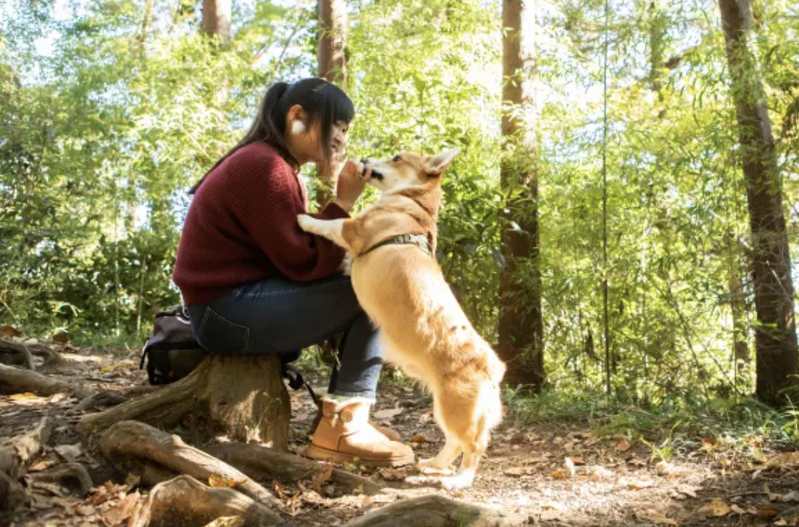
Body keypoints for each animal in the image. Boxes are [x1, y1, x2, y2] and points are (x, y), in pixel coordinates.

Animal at [296, 148, 510, 490]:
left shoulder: (353, 229)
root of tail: (494, 368)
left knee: (474, 445)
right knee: (453, 443)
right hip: (442, 407)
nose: (364, 158)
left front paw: (305, 218)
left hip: (457, 410)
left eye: (396, 157)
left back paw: (459, 480)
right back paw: (433, 464)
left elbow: (332, 223)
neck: (412, 204)